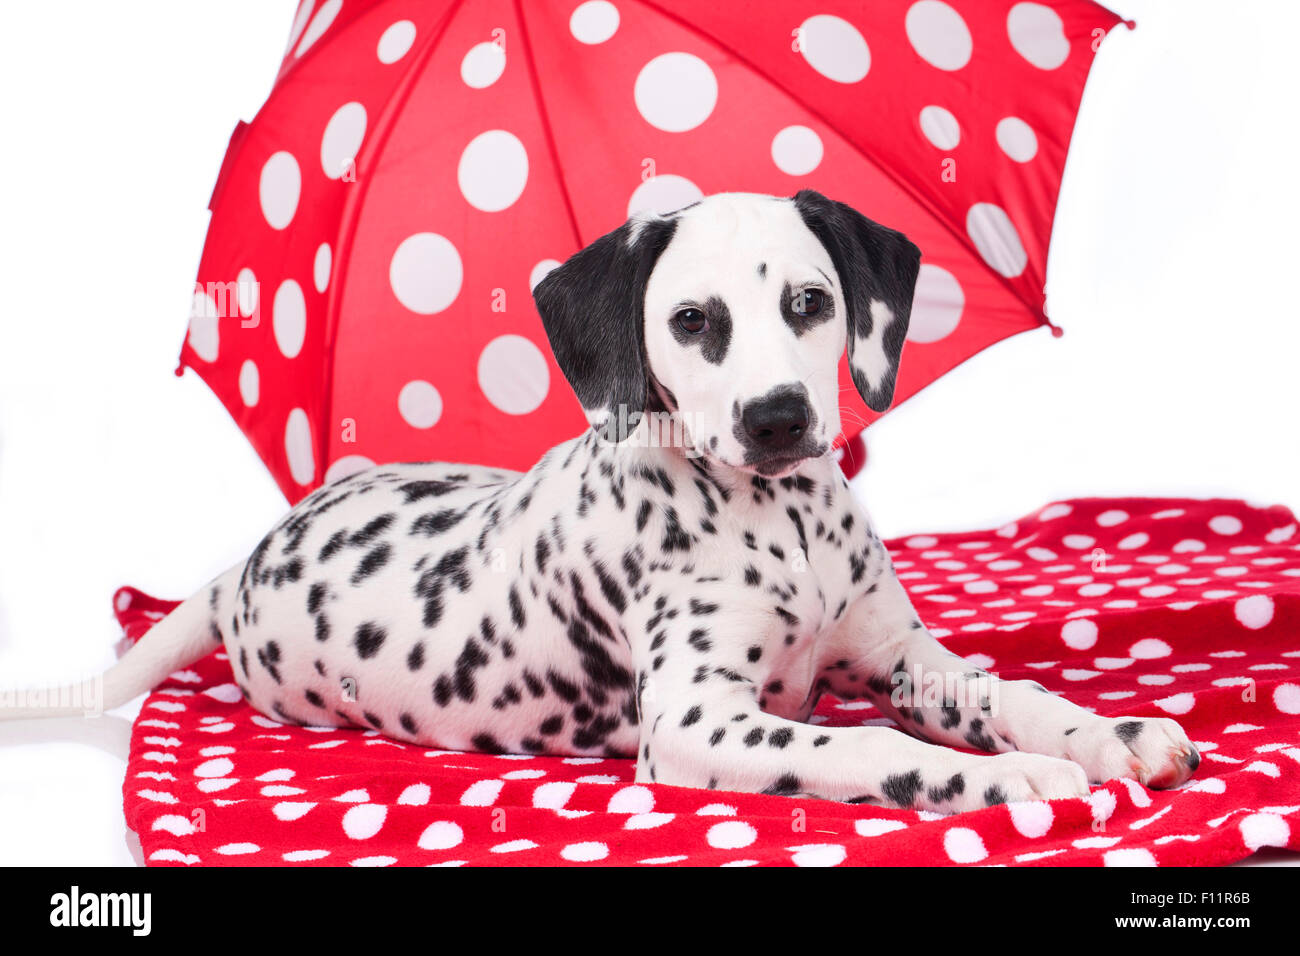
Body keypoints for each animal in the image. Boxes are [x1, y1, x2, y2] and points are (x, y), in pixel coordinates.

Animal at [5, 191, 1196, 811]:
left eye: (809, 302)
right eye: (691, 321)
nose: (777, 419)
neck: (785, 527)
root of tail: (241, 566)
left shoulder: (901, 656)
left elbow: (1002, 689)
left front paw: (1107, 730)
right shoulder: (697, 723)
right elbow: (861, 752)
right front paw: (1012, 779)